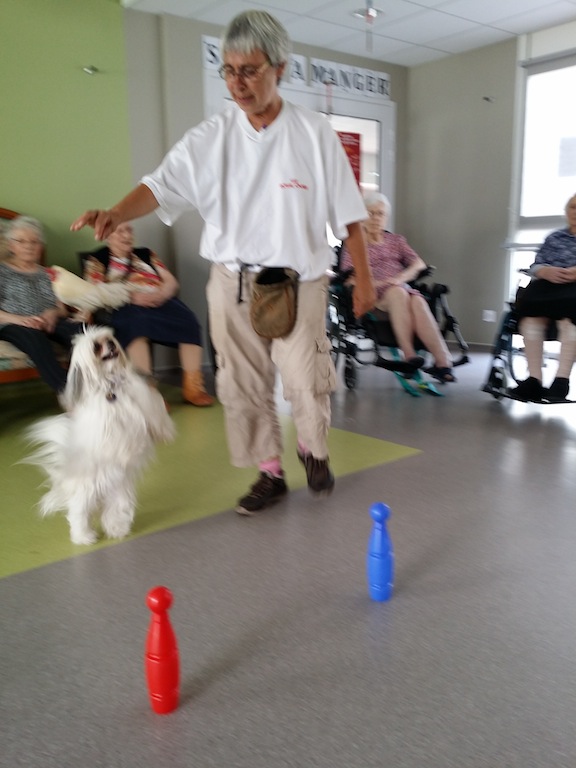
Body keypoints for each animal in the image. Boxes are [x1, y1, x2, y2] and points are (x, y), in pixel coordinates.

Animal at [24, 326, 175, 545]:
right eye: (96, 347)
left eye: (109, 338)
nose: (111, 345)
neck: (112, 386)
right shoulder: (105, 423)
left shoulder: (144, 400)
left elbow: (154, 415)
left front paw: (163, 432)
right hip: (85, 494)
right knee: (78, 514)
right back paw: (84, 537)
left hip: (119, 494)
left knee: (113, 513)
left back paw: (117, 529)